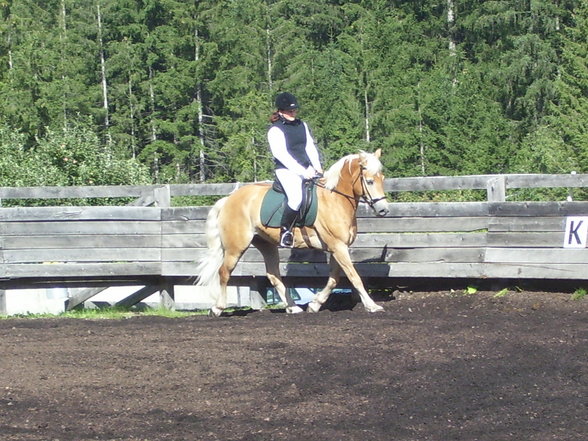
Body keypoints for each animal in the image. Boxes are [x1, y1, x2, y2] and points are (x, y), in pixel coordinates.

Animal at [196, 150, 390, 314]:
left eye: (382, 178)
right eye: (370, 181)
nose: (383, 210)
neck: (335, 199)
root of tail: (229, 199)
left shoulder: (337, 247)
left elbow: (334, 278)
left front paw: (314, 304)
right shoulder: (338, 246)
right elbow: (354, 276)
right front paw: (372, 305)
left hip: (266, 245)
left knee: (273, 274)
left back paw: (293, 307)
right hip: (235, 247)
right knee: (224, 272)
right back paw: (217, 308)